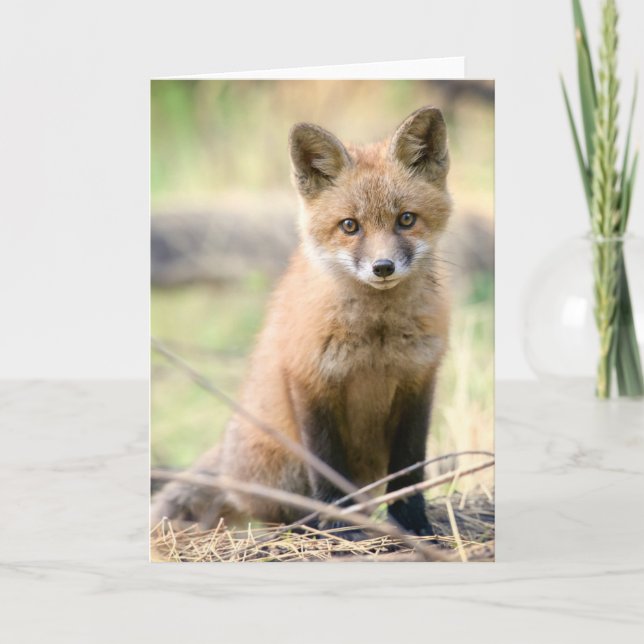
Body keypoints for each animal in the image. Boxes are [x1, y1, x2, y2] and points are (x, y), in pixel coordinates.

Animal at [151, 106, 452, 538]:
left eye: (406, 220)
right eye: (349, 226)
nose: (382, 267)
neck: (376, 340)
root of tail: (227, 464)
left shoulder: (419, 381)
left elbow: (411, 469)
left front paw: (415, 525)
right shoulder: (311, 379)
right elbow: (326, 468)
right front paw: (339, 528)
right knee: (277, 511)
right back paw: (307, 525)